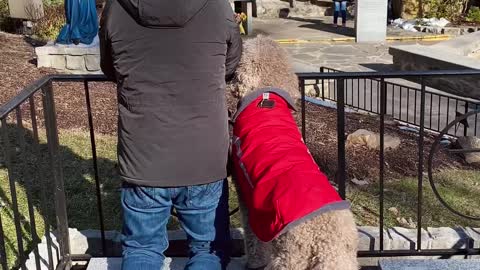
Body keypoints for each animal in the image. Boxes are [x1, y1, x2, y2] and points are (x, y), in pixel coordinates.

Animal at [228, 36, 356, 270]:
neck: (266, 101)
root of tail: (326, 243)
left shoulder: (247, 197)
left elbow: (252, 239)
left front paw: (253, 262)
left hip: (289, 258)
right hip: (344, 258)